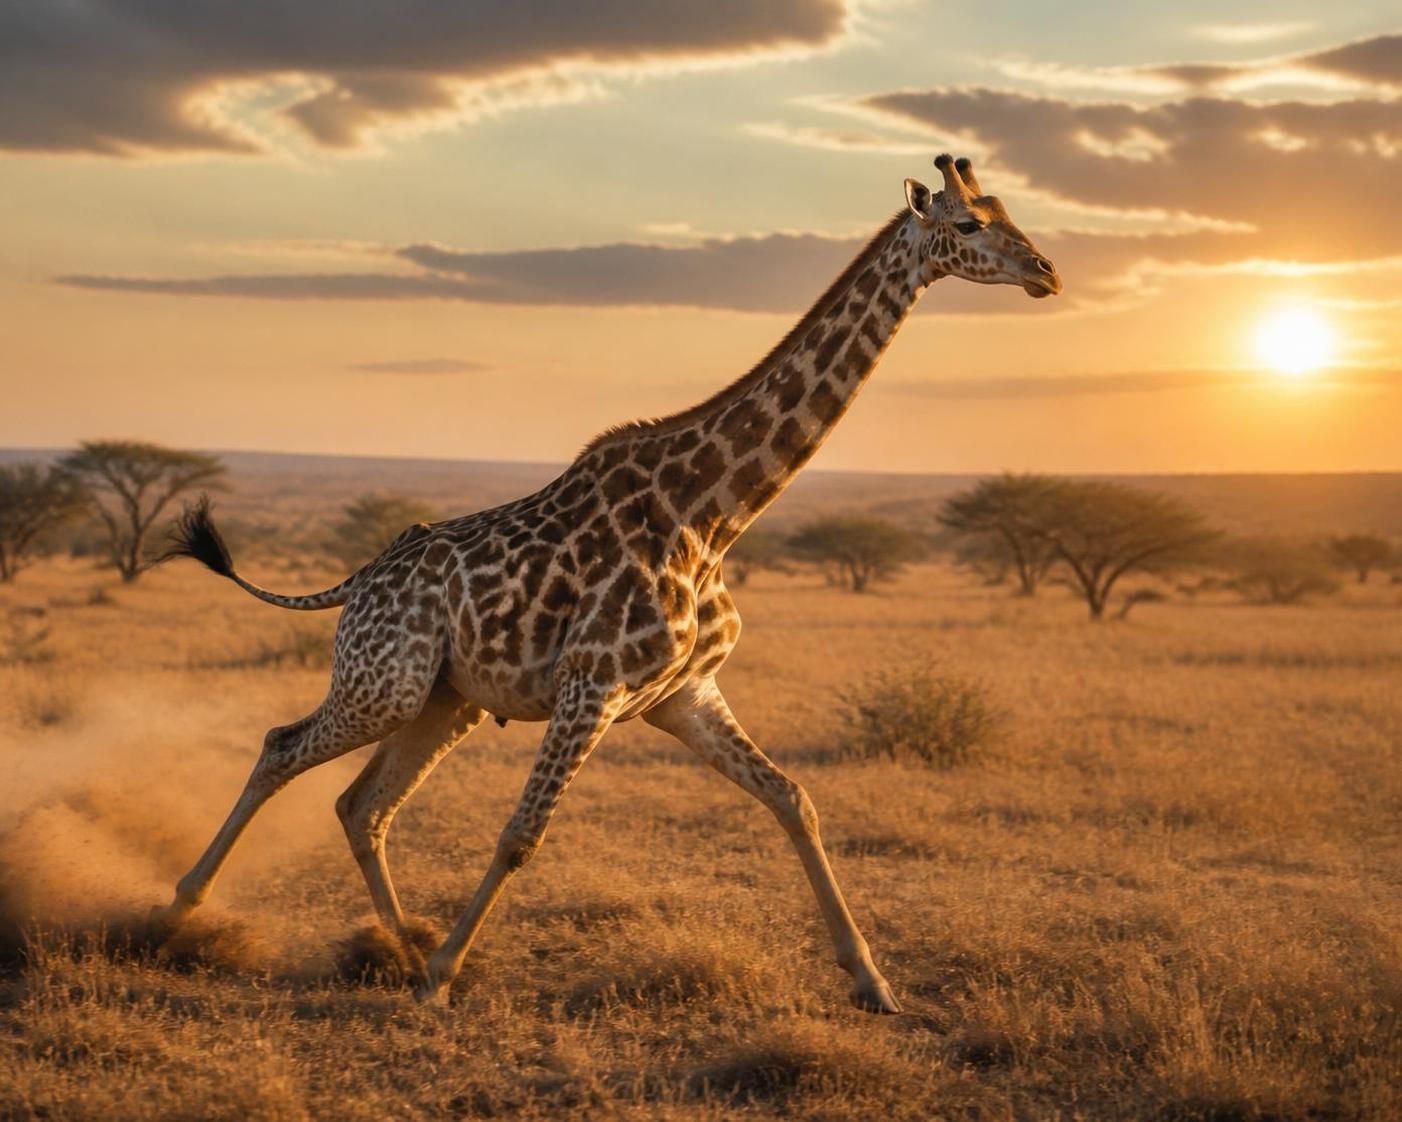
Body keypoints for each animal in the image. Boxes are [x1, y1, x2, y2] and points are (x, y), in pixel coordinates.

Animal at [155, 155, 1060, 1013]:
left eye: (1009, 214)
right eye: (971, 224)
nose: (1048, 272)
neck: (714, 514)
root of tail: (356, 582)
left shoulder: (683, 693)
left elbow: (793, 798)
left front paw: (873, 982)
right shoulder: (592, 684)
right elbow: (521, 835)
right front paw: (444, 977)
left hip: (444, 700)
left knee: (362, 805)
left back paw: (398, 947)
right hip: (386, 683)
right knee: (282, 748)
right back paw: (183, 913)